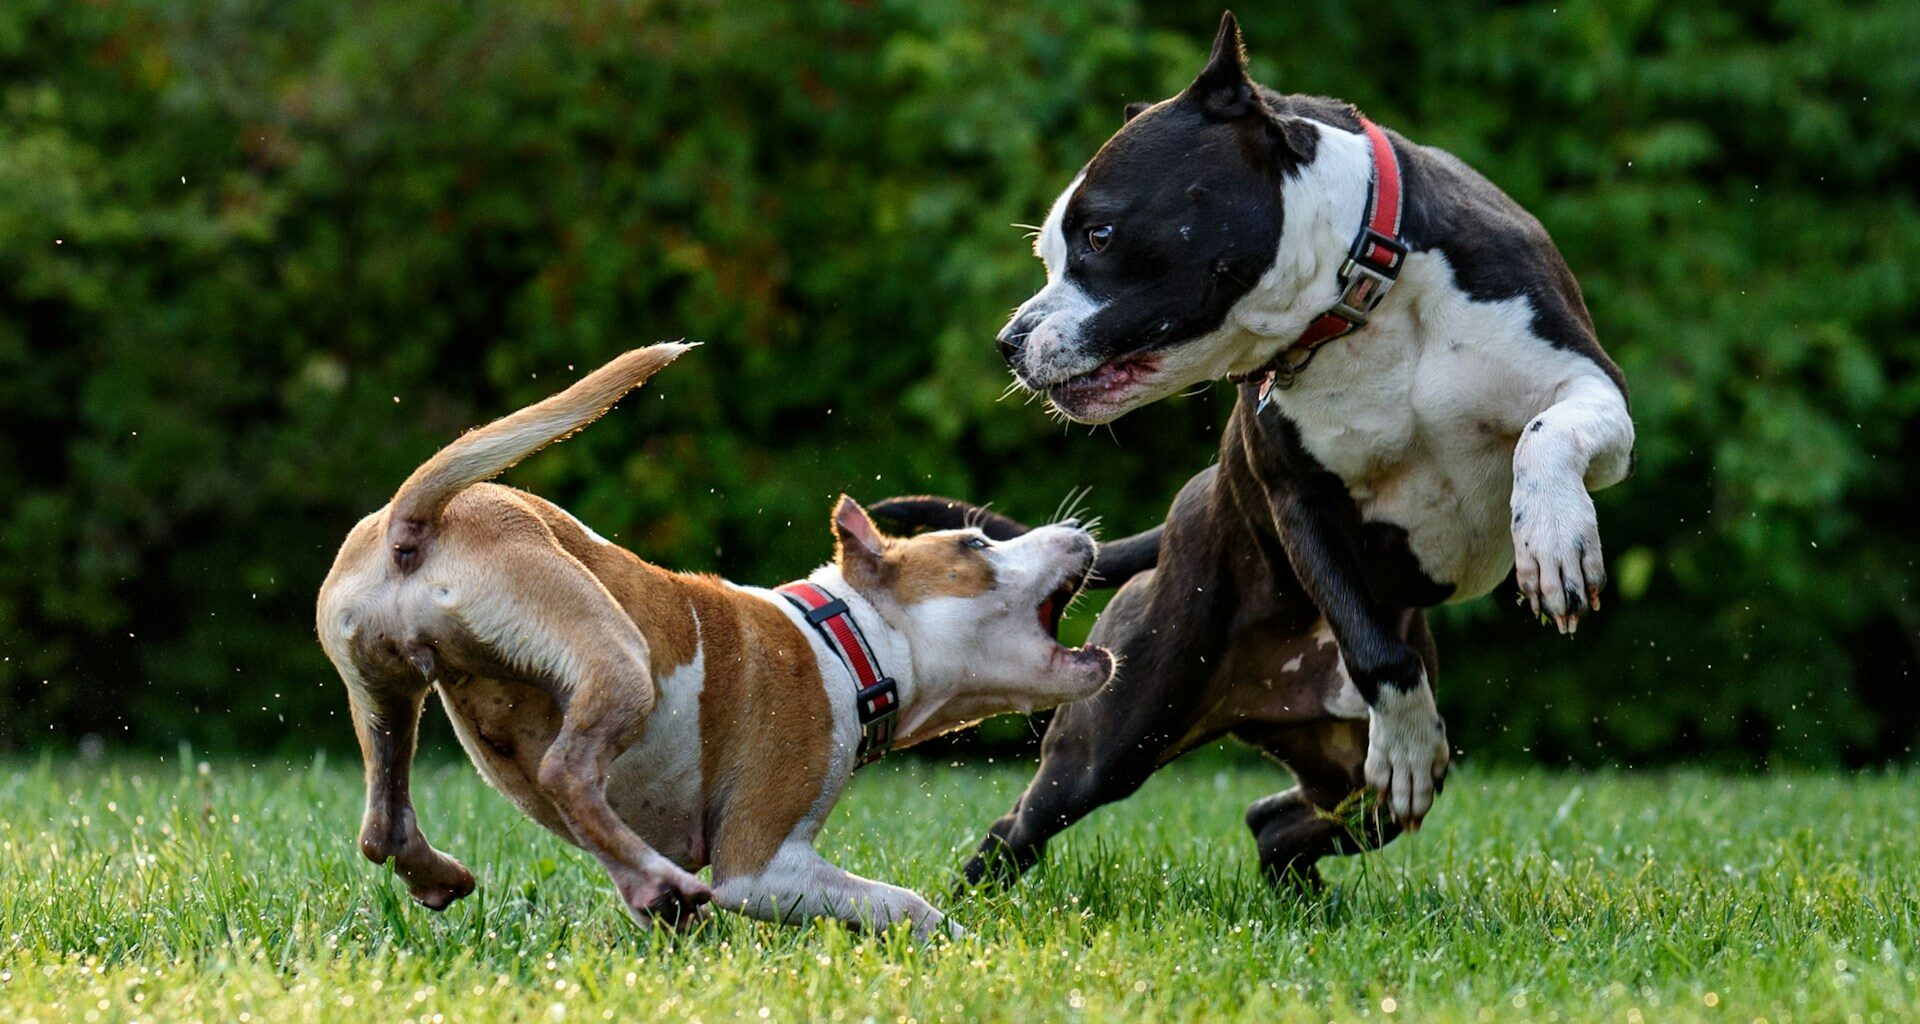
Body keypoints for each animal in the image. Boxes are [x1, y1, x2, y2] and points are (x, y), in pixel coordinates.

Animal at [314, 343, 1113, 933]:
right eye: (976, 544)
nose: (1079, 530)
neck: (845, 638)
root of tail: (415, 521)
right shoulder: (762, 866)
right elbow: (906, 906)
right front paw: (958, 946)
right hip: (615, 656)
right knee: (566, 770)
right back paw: (658, 880)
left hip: (384, 693)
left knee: (384, 824)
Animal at [879, 9, 1628, 887]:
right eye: (1050, 254)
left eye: (1099, 234)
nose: (1008, 341)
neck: (1361, 297)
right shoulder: (1297, 498)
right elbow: (1375, 650)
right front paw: (1409, 739)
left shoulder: (1592, 386)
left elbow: (1546, 434)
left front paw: (1553, 539)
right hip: (1119, 729)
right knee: (1022, 824)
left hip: (1342, 775)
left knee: (1280, 820)